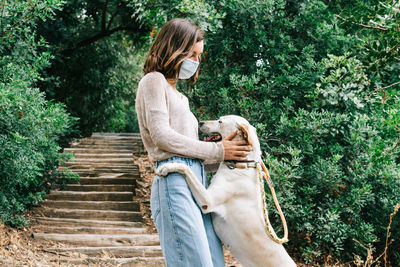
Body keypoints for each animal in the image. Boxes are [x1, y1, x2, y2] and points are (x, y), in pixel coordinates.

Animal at [155, 115, 296, 267]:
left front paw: (168, 166)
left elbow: (185, 168)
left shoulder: (208, 201)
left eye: (220, 121)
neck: (242, 165)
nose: (200, 122)